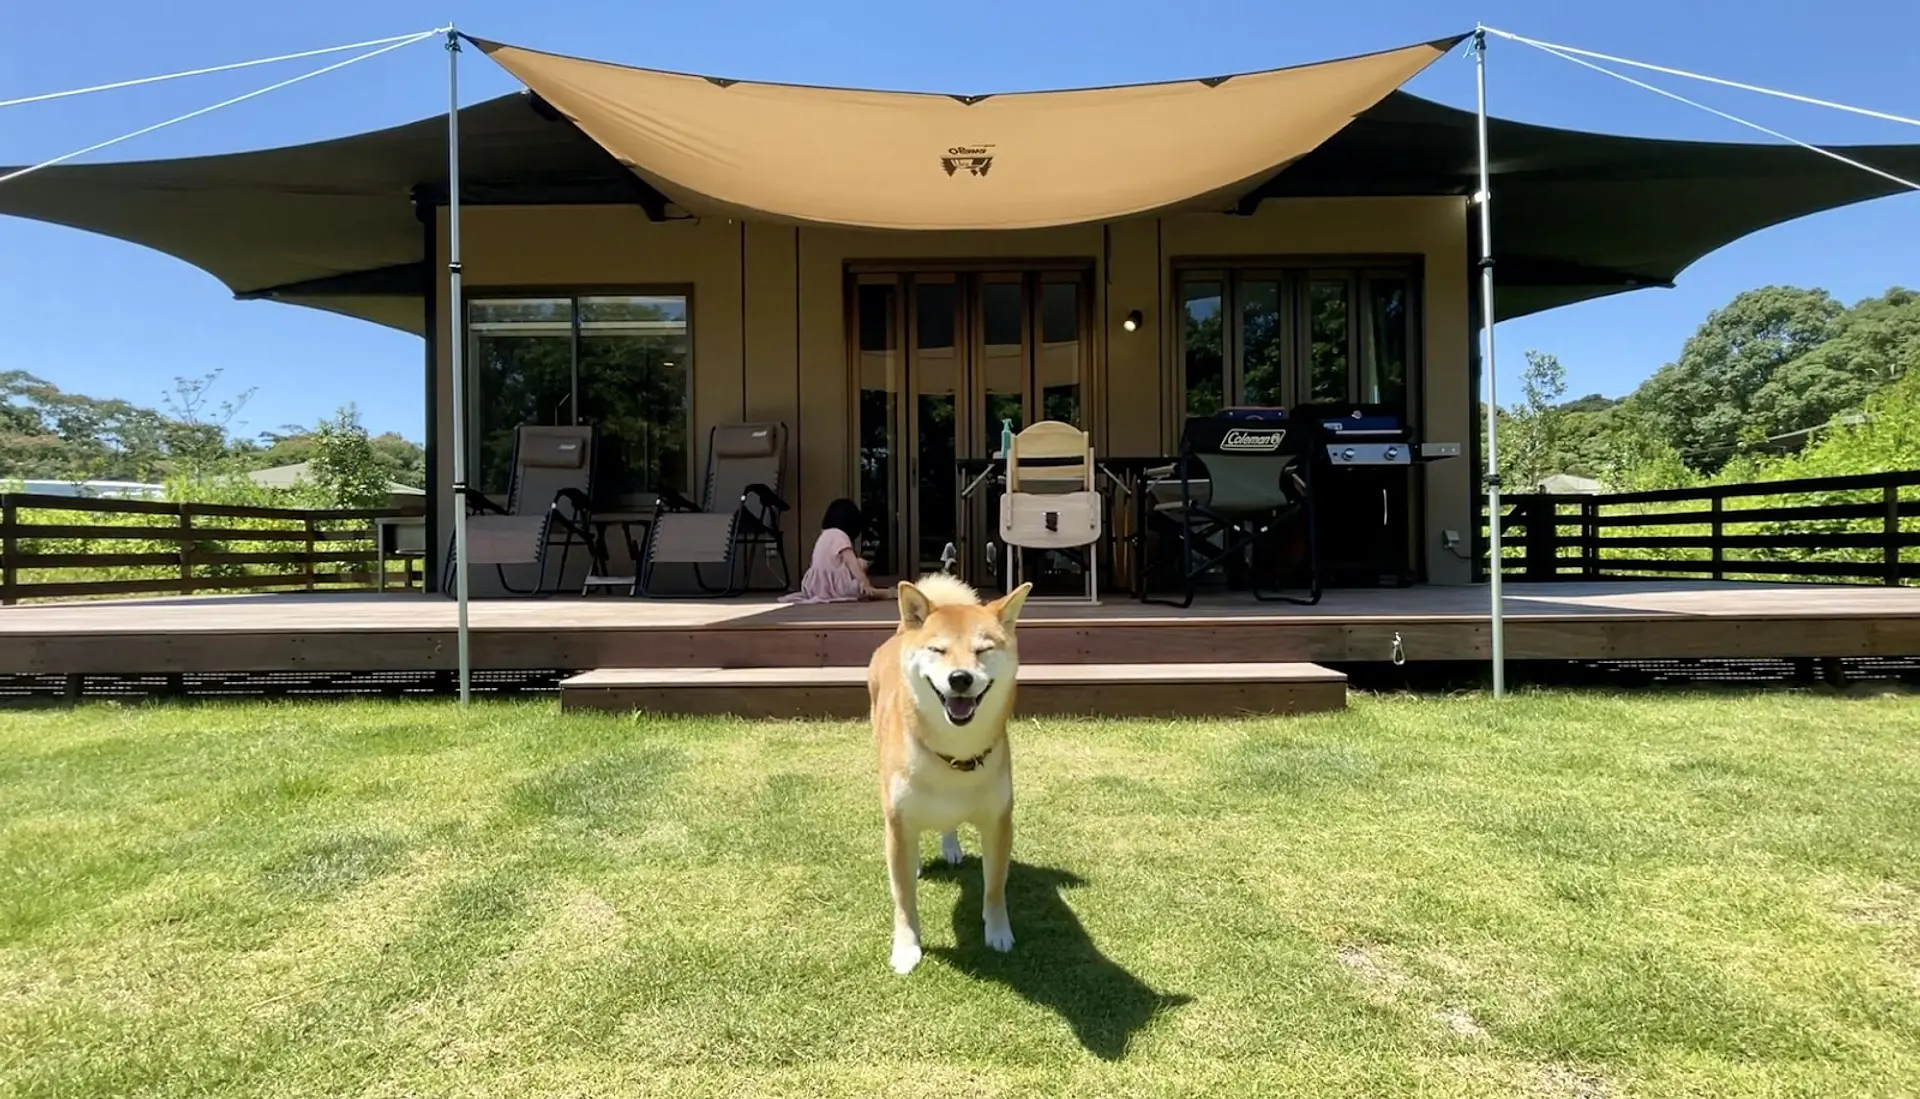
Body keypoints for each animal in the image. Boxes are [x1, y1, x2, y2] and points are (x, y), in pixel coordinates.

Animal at [868, 573, 1033, 975]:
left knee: (948, 823)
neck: (955, 756)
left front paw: (998, 932)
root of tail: (902, 632)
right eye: (938, 650)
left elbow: (995, 887)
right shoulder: (898, 822)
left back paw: (951, 846)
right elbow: (903, 899)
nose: (960, 678)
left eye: (983, 650)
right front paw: (906, 947)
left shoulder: (998, 822)